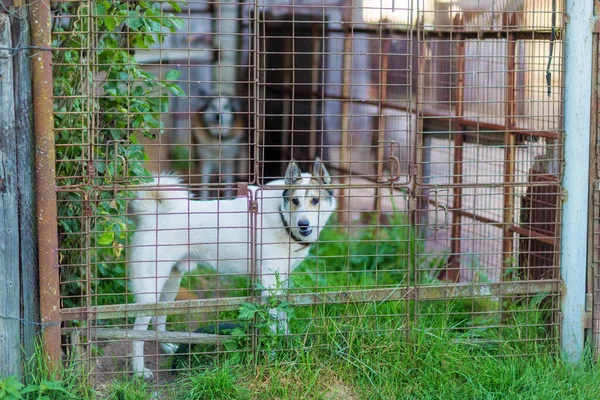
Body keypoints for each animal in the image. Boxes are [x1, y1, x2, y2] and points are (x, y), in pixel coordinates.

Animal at [128, 158, 336, 376]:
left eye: (315, 200)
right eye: (295, 201)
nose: (303, 224)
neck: (282, 217)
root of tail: (154, 213)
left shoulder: (282, 280)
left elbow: (283, 318)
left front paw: (286, 345)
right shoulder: (269, 284)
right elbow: (271, 325)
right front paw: (272, 356)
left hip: (171, 284)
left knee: (159, 318)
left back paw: (169, 347)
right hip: (150, 290)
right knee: (136, 333)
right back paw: (139, 371)